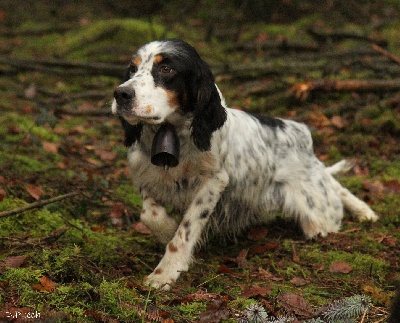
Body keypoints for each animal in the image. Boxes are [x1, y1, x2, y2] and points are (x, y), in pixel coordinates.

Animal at [110, 38, 378, 292]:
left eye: (166, 68)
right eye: (132, 68)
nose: (121, 94)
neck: (171, 132)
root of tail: (303, 135)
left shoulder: (213, 181)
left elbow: (185, 229)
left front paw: (164, 272)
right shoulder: (144, 174)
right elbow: (150, 214)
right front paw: (166, 230)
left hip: (319, 212)